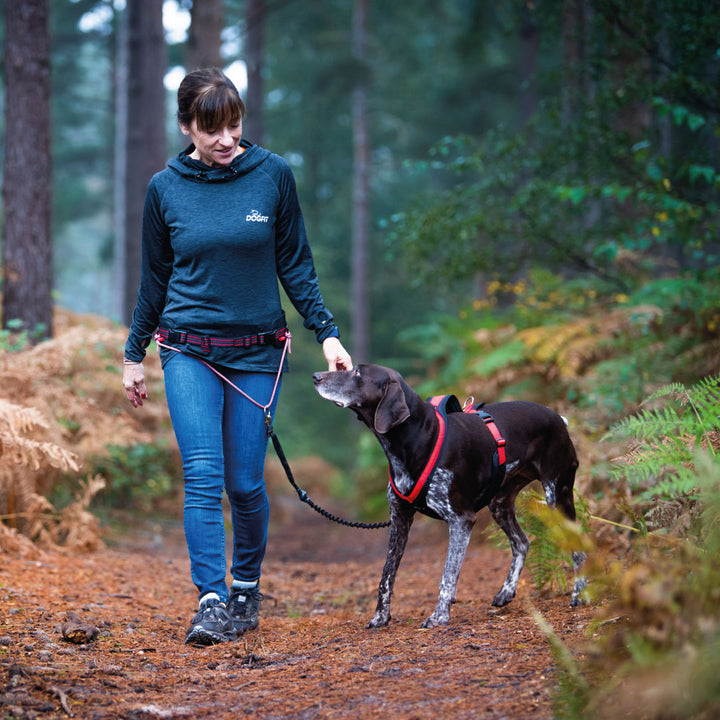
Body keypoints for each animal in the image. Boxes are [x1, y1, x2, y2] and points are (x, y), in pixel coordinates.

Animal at [312, 362, 588, 628]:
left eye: (357, 373)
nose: (315, 376)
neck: (416, 439)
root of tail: (559, 418)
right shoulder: (400, 520)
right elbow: (386, 576)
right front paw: (381, 617)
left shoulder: (461, 520)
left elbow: (448, 575)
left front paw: (439, 616)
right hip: (499, 503)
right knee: (522, 542)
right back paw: (506, 591)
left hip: (557, 496)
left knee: (580, 550)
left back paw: (580, 596)